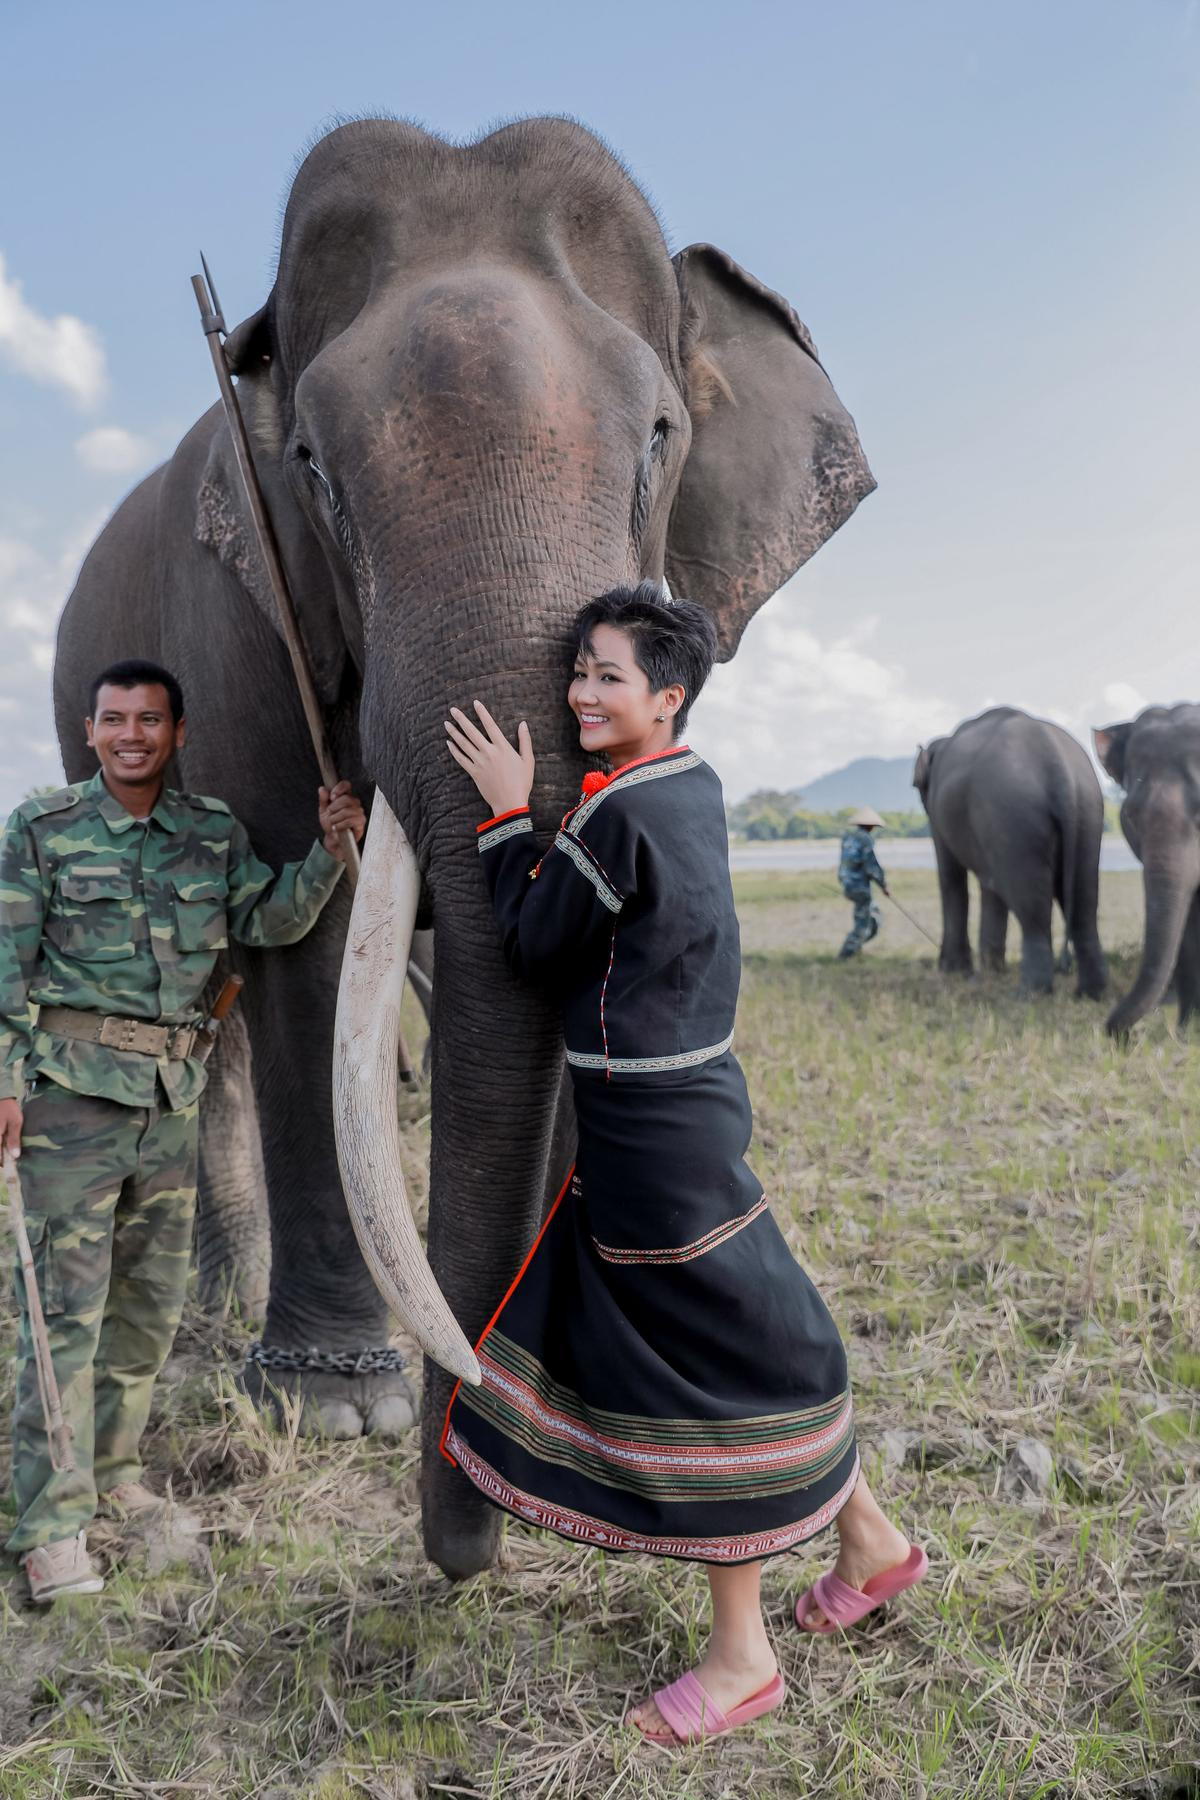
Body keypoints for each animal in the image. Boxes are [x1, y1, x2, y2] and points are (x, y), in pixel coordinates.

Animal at [53, 116, 874, 1576]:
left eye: (660, 437)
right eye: (312, 470)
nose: (462, 1538)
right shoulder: (236, 626)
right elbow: (309, 940)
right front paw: (342, 1413)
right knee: (214, 1017)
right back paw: (226, 1330)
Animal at [921, 702, 1108, 1000]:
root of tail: (1057, 766)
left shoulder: (940, 813)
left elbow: (951, 877)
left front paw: (954, 971)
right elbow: (990, 885)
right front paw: (989, 973)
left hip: (1014, 814)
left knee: (1031, 907)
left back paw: (1028, 994)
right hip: (1088, 811)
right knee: (1084, 902)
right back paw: (1090, 993)